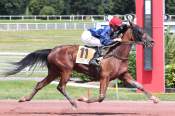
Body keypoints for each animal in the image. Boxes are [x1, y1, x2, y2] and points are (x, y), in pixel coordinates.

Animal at [5, 21, 159, 108]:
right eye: (139, 31)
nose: (152, 41)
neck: (117, 54)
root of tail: (52, 50)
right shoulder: (105, 77)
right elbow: (101, 97)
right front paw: (82, 98)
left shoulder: (123, 76)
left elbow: (139, 85)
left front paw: (155, 98)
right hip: (65, 70)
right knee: (61, 87)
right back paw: (73, 103)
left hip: (54, 72)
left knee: (40, 84)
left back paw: (24, 99)